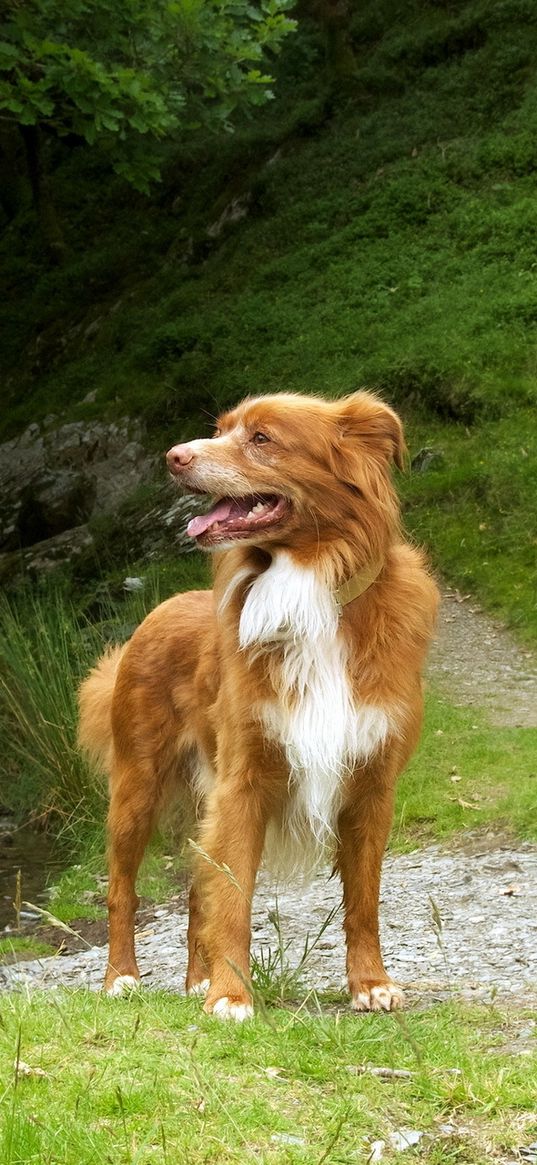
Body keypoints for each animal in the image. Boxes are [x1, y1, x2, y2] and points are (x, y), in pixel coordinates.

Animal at [79, 389, 440, 1020]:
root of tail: (157, 611)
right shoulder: (243, 780)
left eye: (262, 439)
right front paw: (230, 994)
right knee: (123, 890)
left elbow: (364, 898)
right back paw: (121, 978)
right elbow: (234, 894)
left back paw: (194, 979)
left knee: (195, 887)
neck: (311, 589)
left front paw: (370, 983)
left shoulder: (373, 781)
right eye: (221, 429)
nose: (173, 456)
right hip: (136, 787)